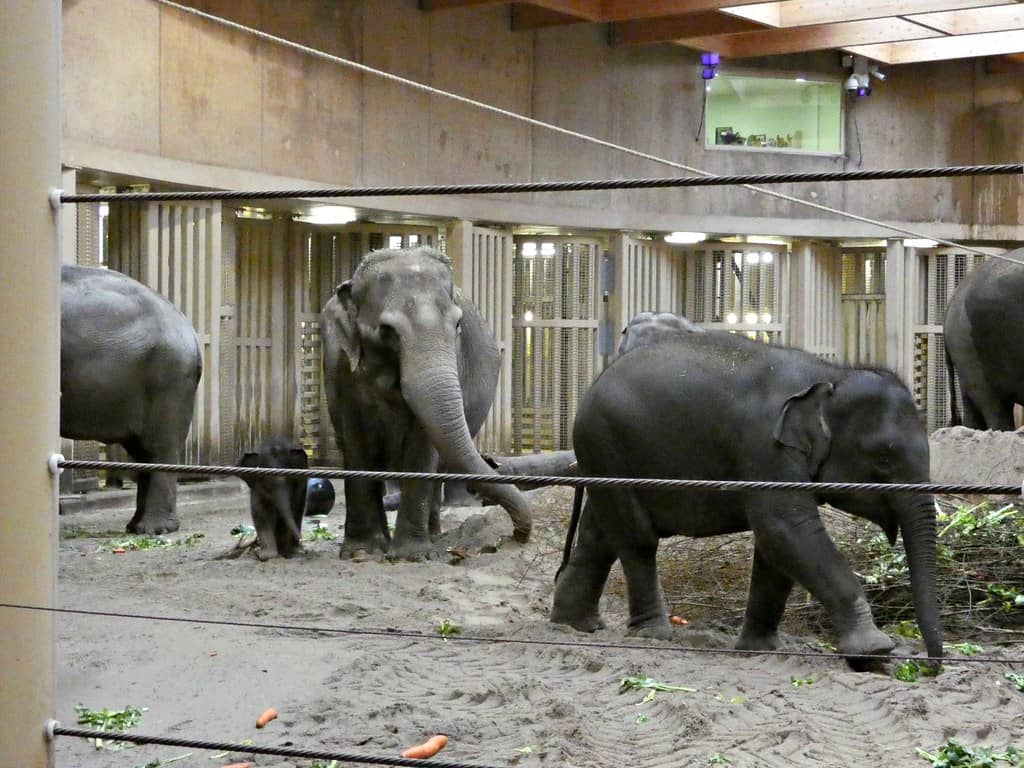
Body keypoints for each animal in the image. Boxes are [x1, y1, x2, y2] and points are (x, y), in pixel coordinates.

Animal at [322, 246, 532, 559]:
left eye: (457, 325)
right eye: (386, 331)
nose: (515, 537)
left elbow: (422, 447)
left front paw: (412, 555)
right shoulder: (340, 366)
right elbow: (355, 441)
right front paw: (362, 553)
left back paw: (433, 536)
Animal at [550, 330, 943, 664]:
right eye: (884, 457)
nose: (931, 664)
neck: (829, 376)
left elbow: (777, 547)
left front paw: (761, 648)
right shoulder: (764, 447)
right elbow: (786, 528)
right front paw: (875, 651)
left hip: (607, 456)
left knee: (599, 534)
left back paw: (574, 625)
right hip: (605, 442)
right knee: (636, 538)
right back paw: (653, 635)